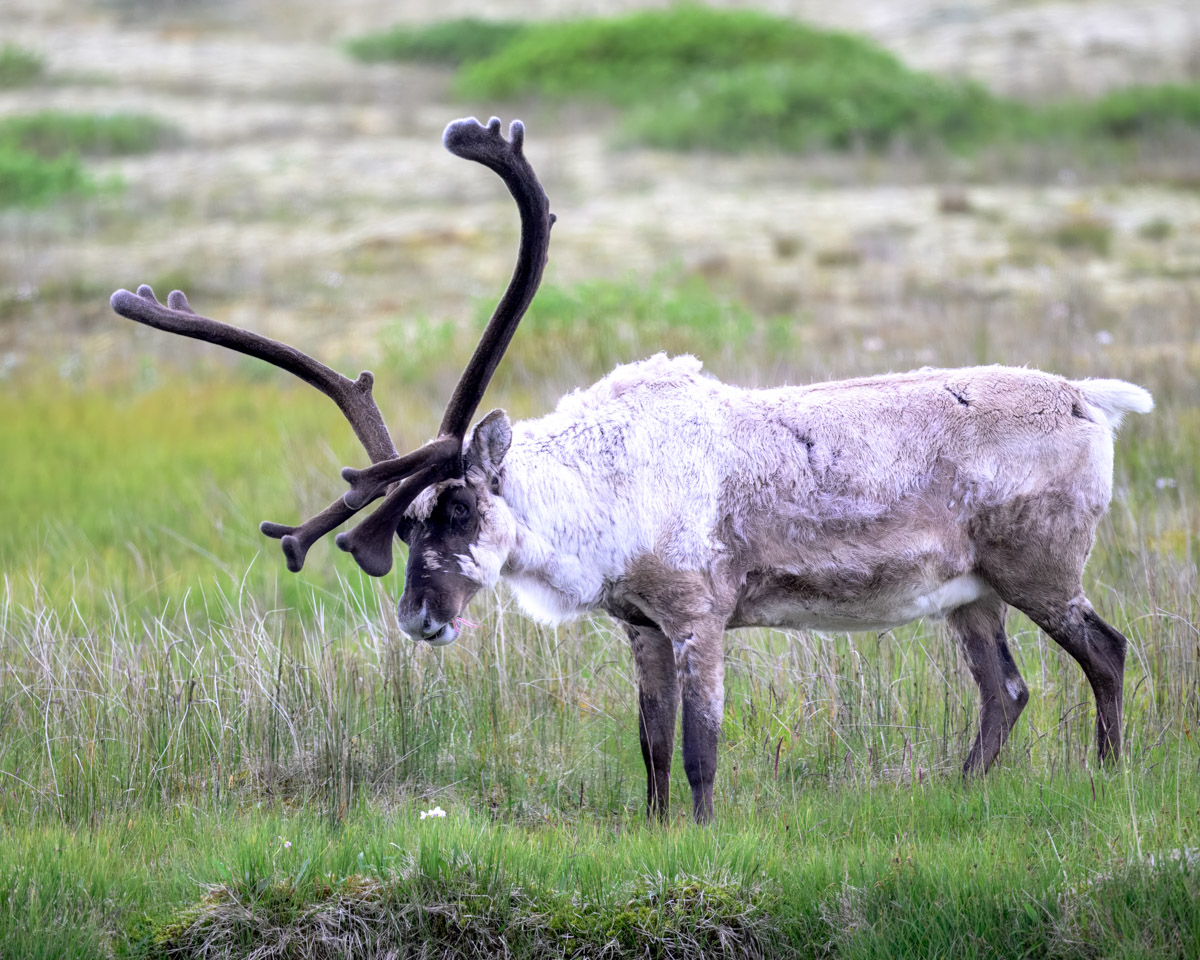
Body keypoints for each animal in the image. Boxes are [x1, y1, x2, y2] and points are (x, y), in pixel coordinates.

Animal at [111, 117, 1153, 824]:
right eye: (403, 524)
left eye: (458, 512)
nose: (419, 618)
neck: (604, 490)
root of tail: (1088, 397)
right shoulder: (640, 627)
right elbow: (649, 746)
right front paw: (654, 835)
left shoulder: (698, 615)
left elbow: (700, 749)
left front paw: (705, 835)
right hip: (968, 592)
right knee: (1004, 692)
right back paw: (956, 792)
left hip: (1039, 567)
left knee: (1105, 650)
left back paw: (1107, 778)